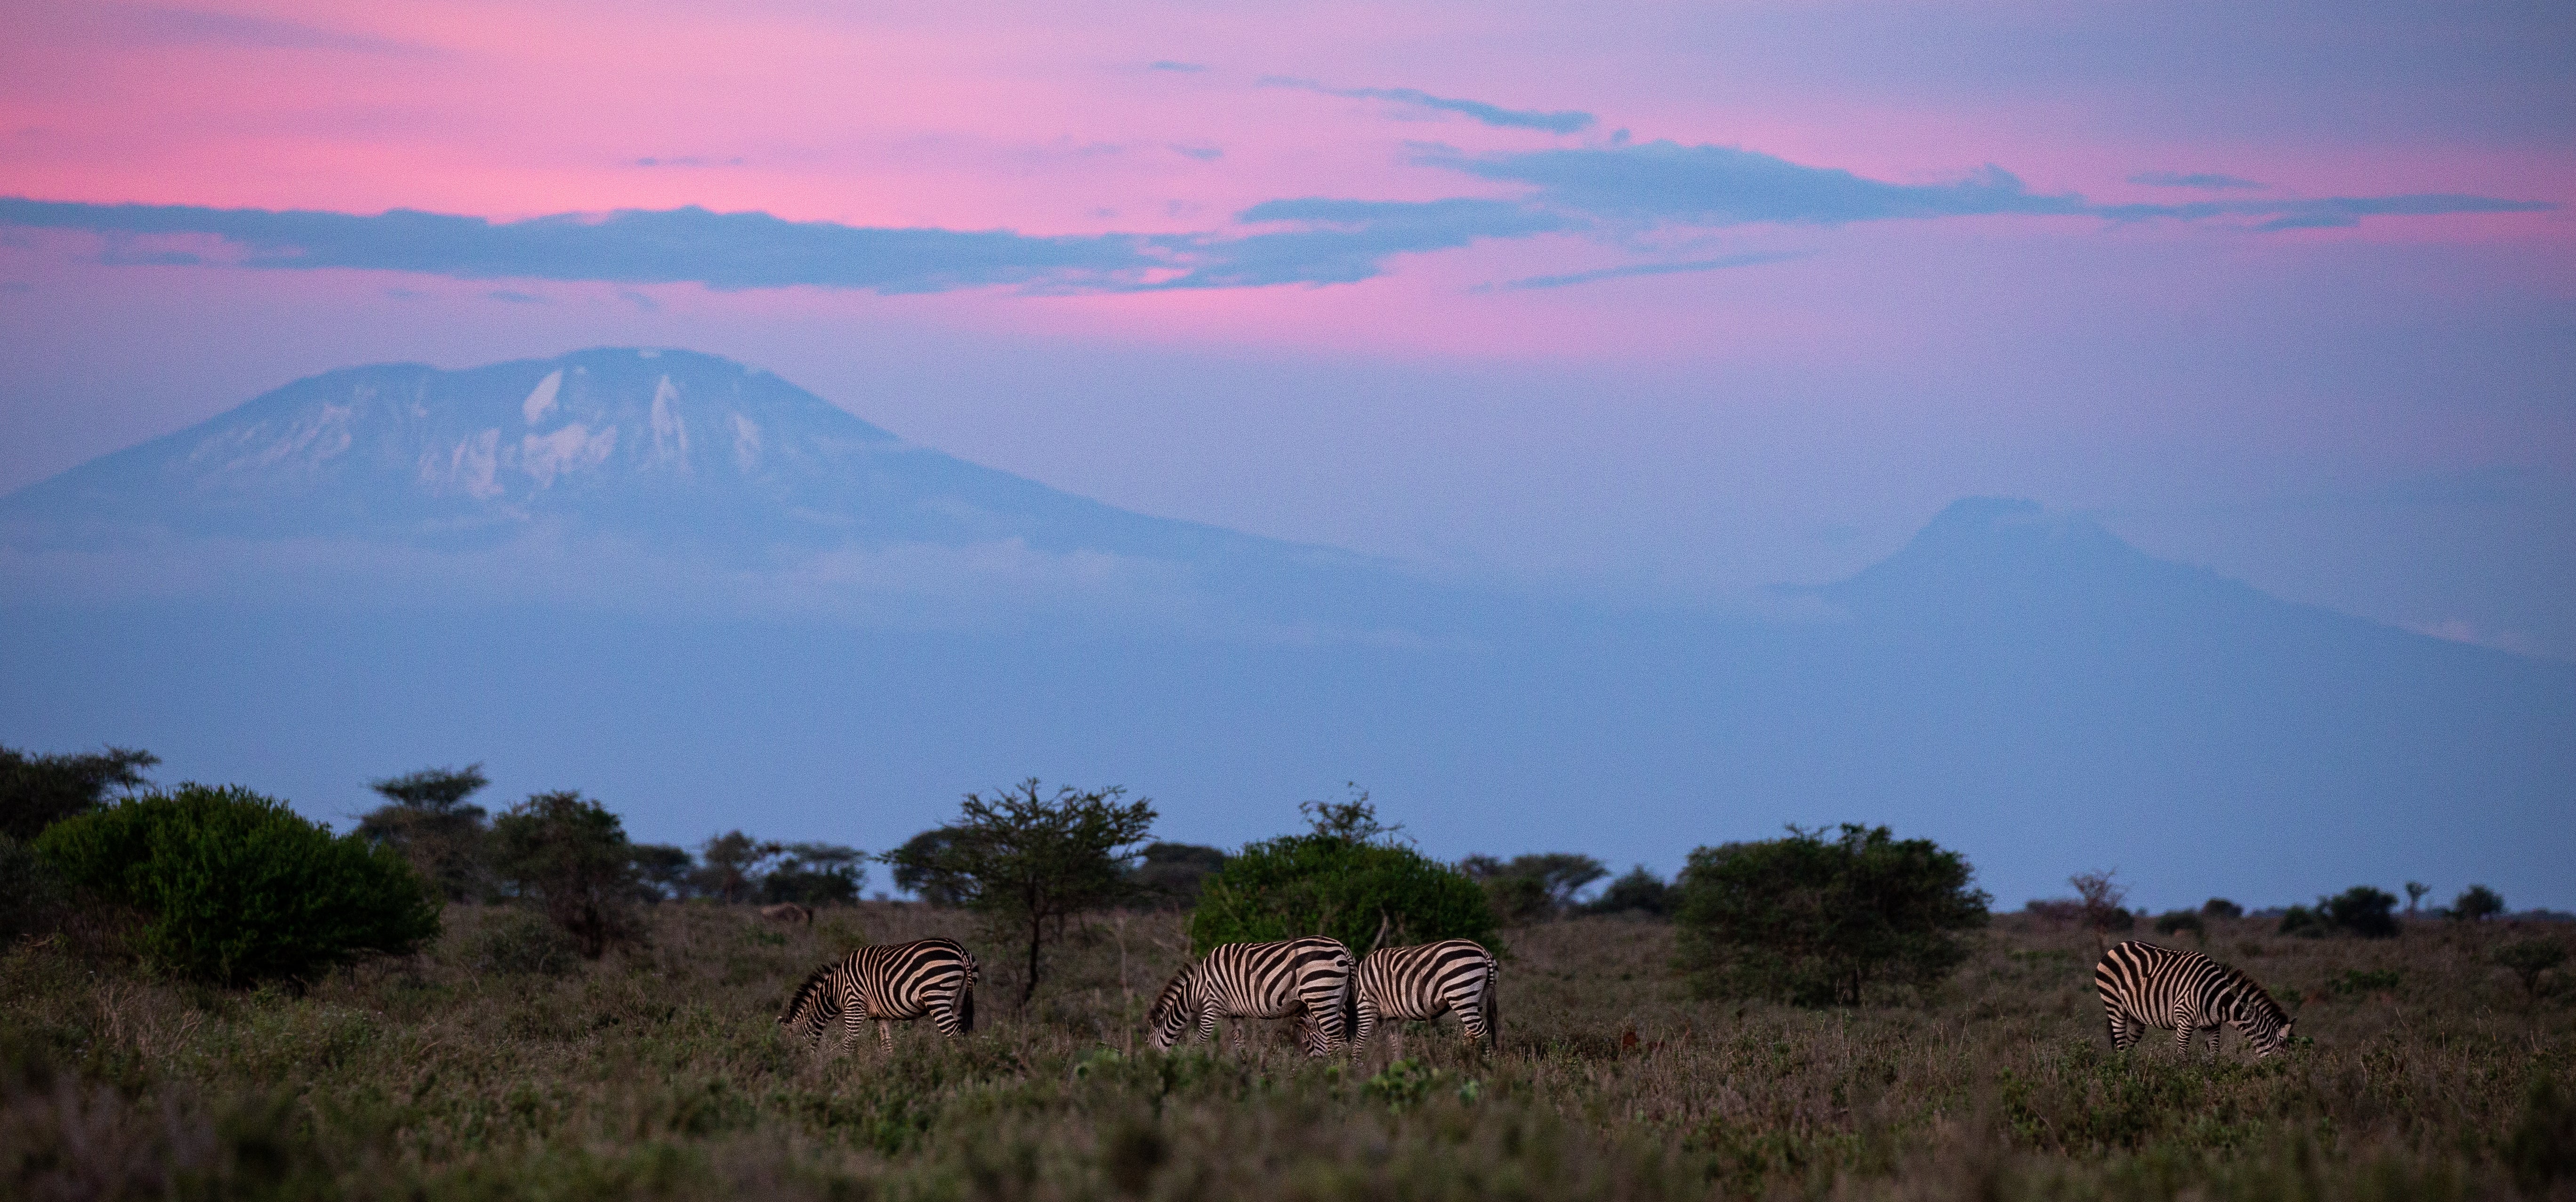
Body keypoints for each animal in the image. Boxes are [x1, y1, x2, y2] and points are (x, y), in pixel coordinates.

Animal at [779, 938, 978, 1054]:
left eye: (792, 1047)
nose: (796, 1068)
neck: (834, 991)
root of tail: (961, 951)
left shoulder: (854, 1008)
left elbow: (848, 1046)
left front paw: (844, 1073)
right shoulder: (881, 1017)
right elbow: (887, 1048)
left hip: (937, 996)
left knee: (955, 1037)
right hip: (958, 1001)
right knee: (958, 1037)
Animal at [1148, 937, 1355, 1058]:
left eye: (1148, 1045)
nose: (1149, 1068)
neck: (1195, 990)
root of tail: (1343, 948)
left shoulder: (1211, 1007)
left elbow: (1200, 1041)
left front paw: (1192, 1067)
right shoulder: (1235, 1015)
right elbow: (1240, 1043)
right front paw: (1244, 1068)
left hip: (1320, 994)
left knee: (1340, 1041)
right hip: (1334, 1000)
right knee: (1332, 1039)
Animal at [1349, 939, 1501, 1054]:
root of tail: (1483, 950)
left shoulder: (1367, 1005)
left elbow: (1358, 1045)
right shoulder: (1392, 1018)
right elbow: (1395, 1046)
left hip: (1461, 993)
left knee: (1483, 1033)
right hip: (1478, 998)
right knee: (1472, 1034)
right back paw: (1467, 1060)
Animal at [2094, 939, 2295, 1059]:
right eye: (2283, 1058)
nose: (2282, 1079)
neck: (2218, 1001)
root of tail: (2118, 946)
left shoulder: (2212, 1026)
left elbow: (2215, 1057)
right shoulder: (2185, 1022)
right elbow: (2182, 1058)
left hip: (2136, 1017)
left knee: (2128, 1048)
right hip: (2115, 1007)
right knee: (2121, 1048)